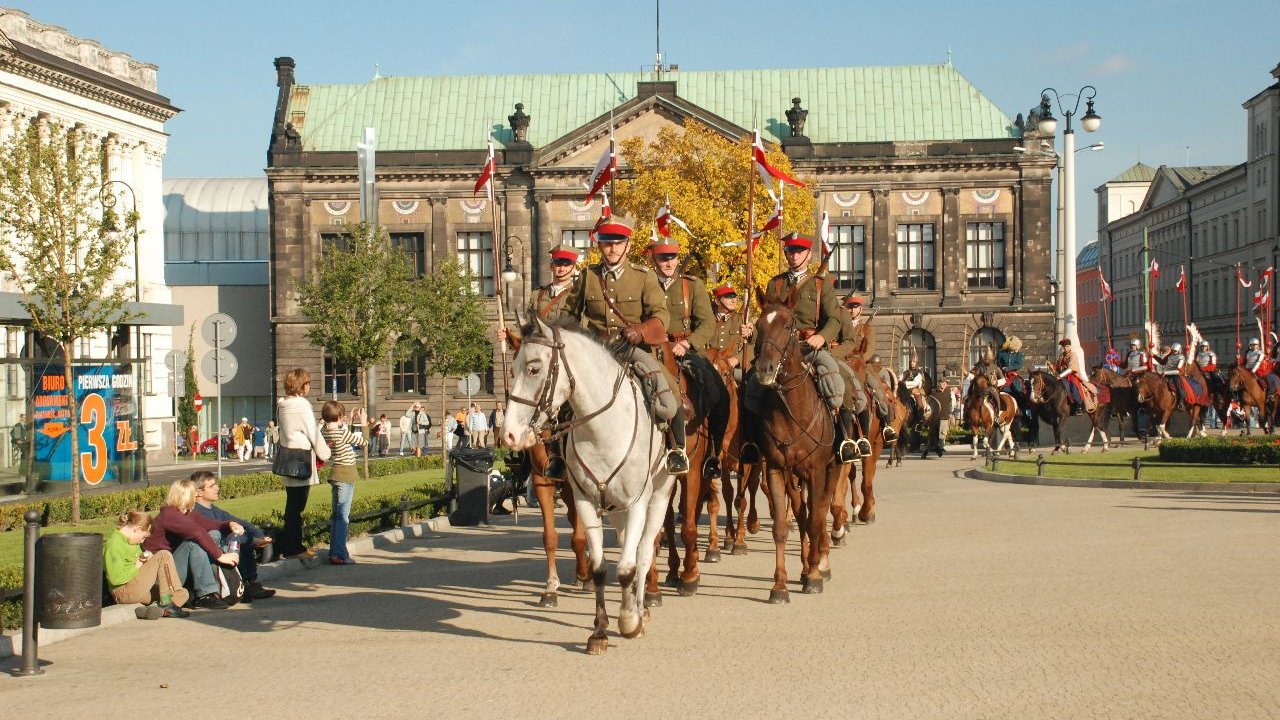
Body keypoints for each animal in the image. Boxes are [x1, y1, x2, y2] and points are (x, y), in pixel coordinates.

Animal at [501, 316, 675, 653]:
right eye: (512, 368)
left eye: (533, 368)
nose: (509, 434)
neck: (601, 430)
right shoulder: (584, 500)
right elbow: (600, 566)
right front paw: (599, 630)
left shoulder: (638, 502)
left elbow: (627, 566)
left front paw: (629, 620)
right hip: (616, 508)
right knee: (626, 543)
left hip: (660, 494)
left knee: (644, 549)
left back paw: (642, 605)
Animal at [747, 302, 839, 599]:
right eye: (759, 325)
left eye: (788, 326)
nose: (764, 369)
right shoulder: (776, 470)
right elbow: (780, 526)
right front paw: (779, 585)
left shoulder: (817, 471)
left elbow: (817, 518)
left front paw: (815, 576)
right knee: (802, 514)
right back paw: (806, 562)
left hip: (833, 468)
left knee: (820, 511)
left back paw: (820, 562)